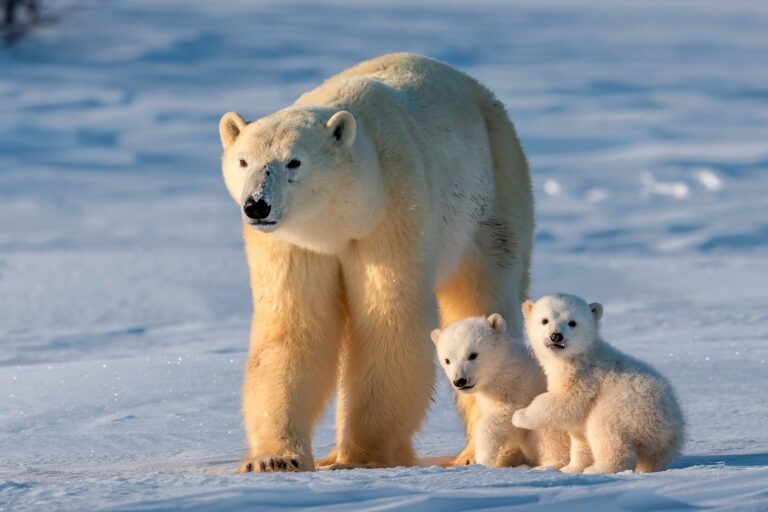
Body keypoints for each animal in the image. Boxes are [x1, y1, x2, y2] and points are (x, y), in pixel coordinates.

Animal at [218, 53, 534, 472]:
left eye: (294, 162)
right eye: (243, 161)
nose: (257, 204)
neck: (341, 219)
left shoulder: (392, 211)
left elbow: (389, 321)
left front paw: (362, 457)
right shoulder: (293, 244)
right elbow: (293, 328)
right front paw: (273, 459)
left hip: (493, 196)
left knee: (483, 293)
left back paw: (480, 453)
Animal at [431, 314, 570, 468]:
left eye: (472, 355)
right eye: (447, 360)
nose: (460, 381)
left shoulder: (522, 389)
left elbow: (509, 417)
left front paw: (484, 457)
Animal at [512, 294, 685, 474]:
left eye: (572, 322)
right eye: (544, 320)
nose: (556, 336)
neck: (578, 356)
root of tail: (671, 426)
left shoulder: (585, 378)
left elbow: (565, 401)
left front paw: (519, 416)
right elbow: (579, 437)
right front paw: (571, 468)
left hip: (626, 408)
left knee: (604, 431)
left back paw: (598, 468)